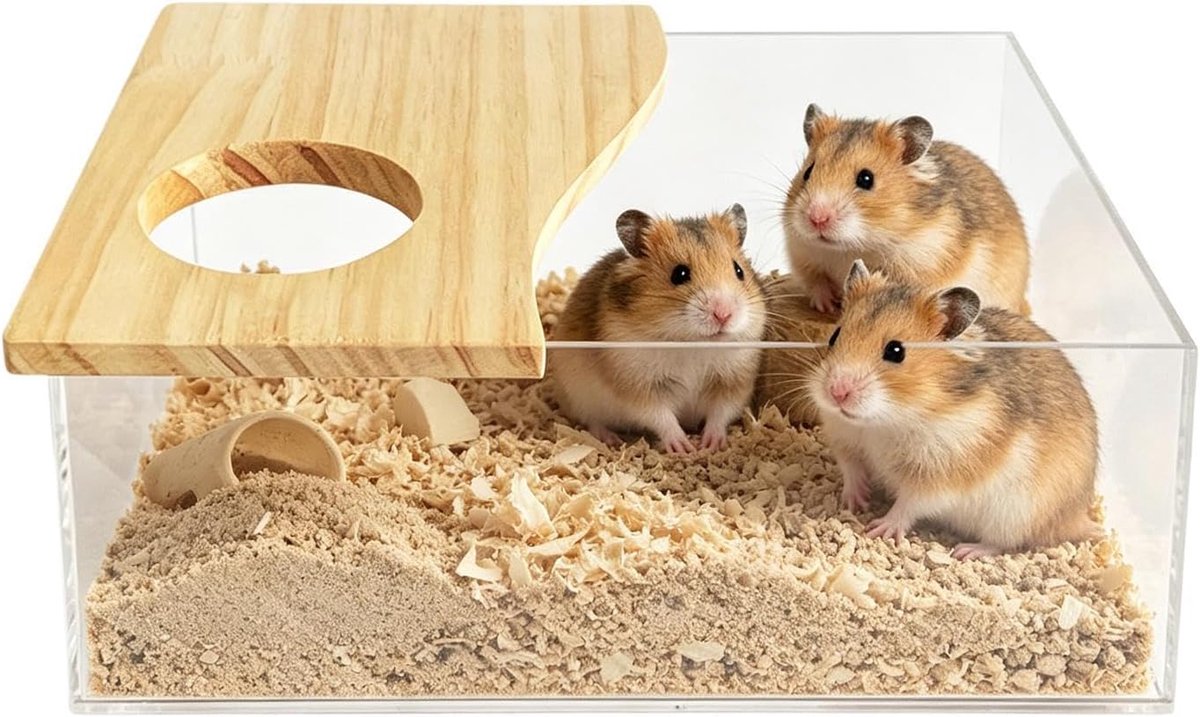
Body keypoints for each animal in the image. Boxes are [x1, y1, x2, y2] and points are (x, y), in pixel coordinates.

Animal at [549, 205, 766, 453]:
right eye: (679, 274)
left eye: (739, 271)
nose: (724, 314)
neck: (692, 344)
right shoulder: (639, 386)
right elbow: (661, 417)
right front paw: (683, 448)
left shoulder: (734, 382)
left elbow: (720, 413)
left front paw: (711, 444)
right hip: (577, 395)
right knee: (592, 422)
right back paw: (611, 439)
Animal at [784, 104, 1030, 316]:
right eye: (807, 172)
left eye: (866, 179)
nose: (817, 219)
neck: (852, 248)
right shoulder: (802, 254)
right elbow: (817, 283)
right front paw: (827, 307)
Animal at [808, 260, 1099, 559]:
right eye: (834, 336)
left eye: (896, 351)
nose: (836, 392)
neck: (887, 419)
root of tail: (1077, 517)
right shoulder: (845, 438)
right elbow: (851, 468)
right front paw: (855, 501)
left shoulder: (939, 475)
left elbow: (909, 504)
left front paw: (880, 528)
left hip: (1015, 514)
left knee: (1003, 542)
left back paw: (966, 551)